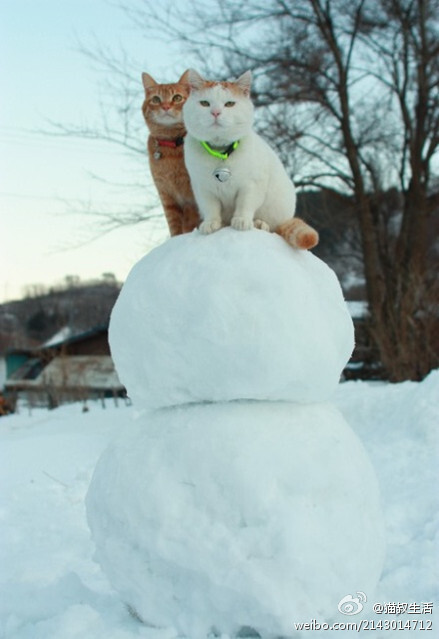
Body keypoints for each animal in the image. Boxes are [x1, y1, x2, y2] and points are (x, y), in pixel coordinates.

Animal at [182, 69, 320, 250]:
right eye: (204, 103)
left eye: (229, 104)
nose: (216, 112)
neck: (221, 153)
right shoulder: (203, 188)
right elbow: (211, 207)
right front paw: (211, 223)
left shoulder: (252, 185)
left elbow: (245, 204)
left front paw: (241, 220)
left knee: (273, 227)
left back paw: (260, 223)